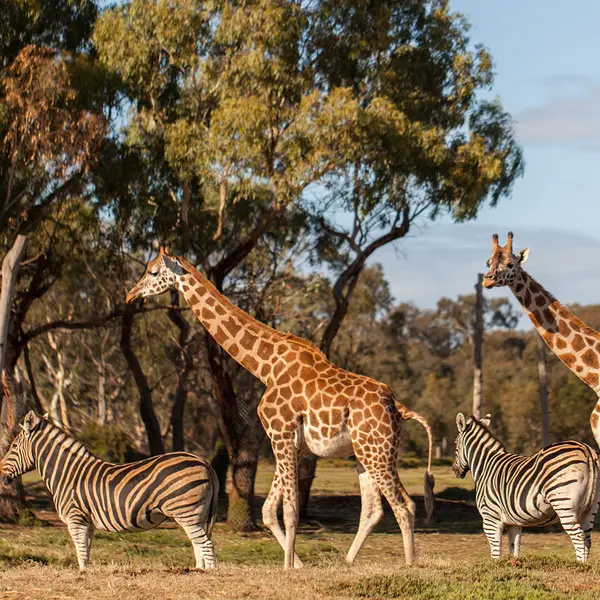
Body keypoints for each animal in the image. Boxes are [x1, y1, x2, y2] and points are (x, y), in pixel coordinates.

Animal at [0, 410, 220, 568]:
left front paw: (82, 577)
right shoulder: (87, 521)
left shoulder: (75, 517)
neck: (67, 473)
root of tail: (203, 461)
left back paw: (207, 574)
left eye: (13, 446)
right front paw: (88, 574)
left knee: (206, 544)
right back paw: (197, 571)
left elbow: (81, 552)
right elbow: (86, 551)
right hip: (196, 515)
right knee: (199, 544)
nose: (1, 476)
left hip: (186, 512)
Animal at [127, 247, 436, 568]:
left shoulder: (280, 432)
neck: (265, 366)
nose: (130, 294)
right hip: (365, 453)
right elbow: (269, 510)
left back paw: (409, 564)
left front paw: (288, 567)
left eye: (152, 272)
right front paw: (296, 564)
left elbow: (289, 510)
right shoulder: (289, 442)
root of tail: (398, 407)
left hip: (378, 452)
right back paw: (348, 562)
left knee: (404, 505)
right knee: (374, 509)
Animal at [454, 412, 600, 564]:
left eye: (455, 443)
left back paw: (578, 566)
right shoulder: (513, 522)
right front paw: (513, 565)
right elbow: (514, 548)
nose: (454, 470)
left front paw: (495, 566)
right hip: (590, 508)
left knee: (579, 538)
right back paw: (585, 566)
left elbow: (495, 551)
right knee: (587, 539)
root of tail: (587, 450)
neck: (486, 466)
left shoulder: (490, 517)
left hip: (564, 505)